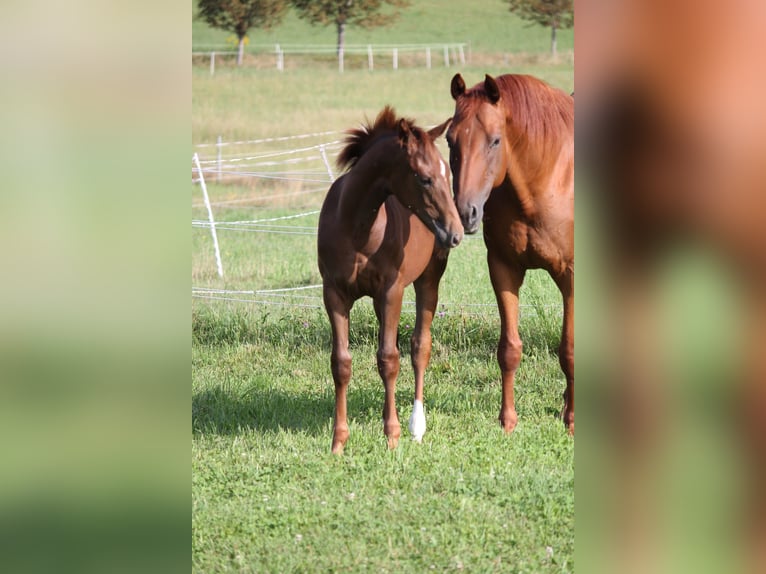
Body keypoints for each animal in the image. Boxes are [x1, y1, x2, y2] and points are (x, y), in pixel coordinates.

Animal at [316, 107, 462, 454]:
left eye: (447, 174)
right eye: (424, 177)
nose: (456, 233)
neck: (358, 230)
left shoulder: (391, 291)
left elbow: (389, 359)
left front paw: (392, 435)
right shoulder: (334, 295)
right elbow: (341, 363)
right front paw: (338, 441)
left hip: (428, 280)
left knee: (419, 346)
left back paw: (416, 426)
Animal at [448, 74, 572, 434]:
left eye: (495, 140)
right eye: (449, 140)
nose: (466, 213)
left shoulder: (571, 276)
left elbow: (569, 349)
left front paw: (572, 420)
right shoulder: (503, 269)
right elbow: (509, 349)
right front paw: (508, 420)